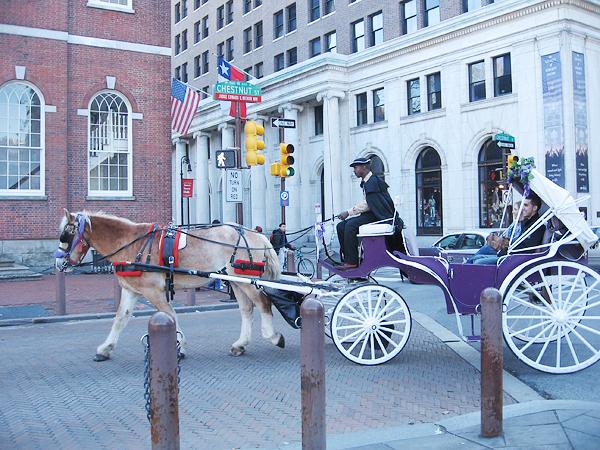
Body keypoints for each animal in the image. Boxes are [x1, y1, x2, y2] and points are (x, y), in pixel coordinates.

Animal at [54, 209, 284, 360]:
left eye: (66, 235)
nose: (58, 263)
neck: (131, 244)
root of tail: (256, 234)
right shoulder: (131, 290)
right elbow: (120, 318)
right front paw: (105, 348)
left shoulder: (153, 291)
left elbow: (170, 315)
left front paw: (180, 347)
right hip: (236, 281)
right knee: (246, 310)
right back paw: (240, 344)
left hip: (247, 281)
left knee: (263, 304)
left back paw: (273, 336)